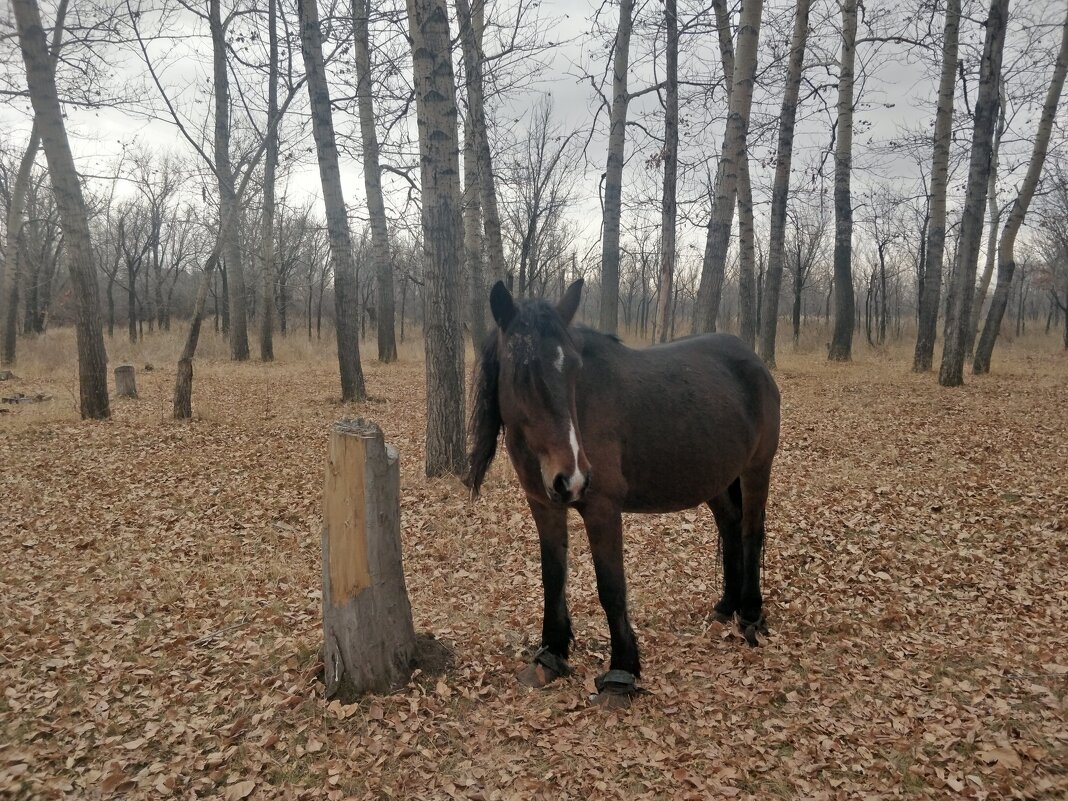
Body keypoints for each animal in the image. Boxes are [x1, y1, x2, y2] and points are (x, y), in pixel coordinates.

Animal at [463, 279, 781, 704]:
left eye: (575, 368)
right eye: (522, 371)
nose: (573, 477)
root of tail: (754, 360)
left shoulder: (602, 510)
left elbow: (611, 587)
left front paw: (621, 674)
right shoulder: (544, 506)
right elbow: (553, 577)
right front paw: (551, 656)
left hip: (756, 469)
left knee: (751, 533)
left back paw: (750, 617)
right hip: (715, 479)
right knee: (730, 528)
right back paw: (725, 606)